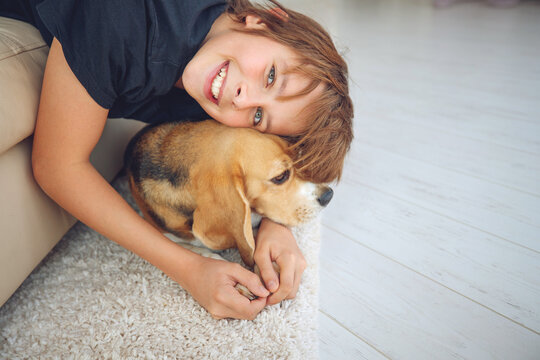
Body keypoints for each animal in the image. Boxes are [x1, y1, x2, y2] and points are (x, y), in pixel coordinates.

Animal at [125, 121, 334, 298]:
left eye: (298, 159)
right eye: (280, 177)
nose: (329, 195)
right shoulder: (164, 234)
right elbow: (198, 251)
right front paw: (237, 282)